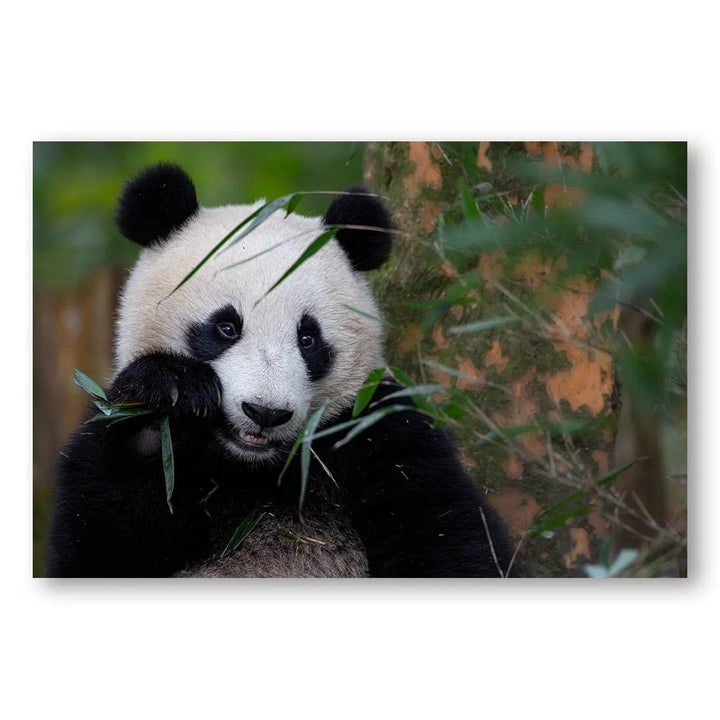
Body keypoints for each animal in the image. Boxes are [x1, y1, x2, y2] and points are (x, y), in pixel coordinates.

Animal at [46, 163, 513, 578]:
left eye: (308, 338)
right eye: (226, 327)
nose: (265, 413)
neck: (255, 465)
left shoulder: (378, 432)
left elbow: (449, 538)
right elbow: (100, 544)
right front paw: (163, 407)